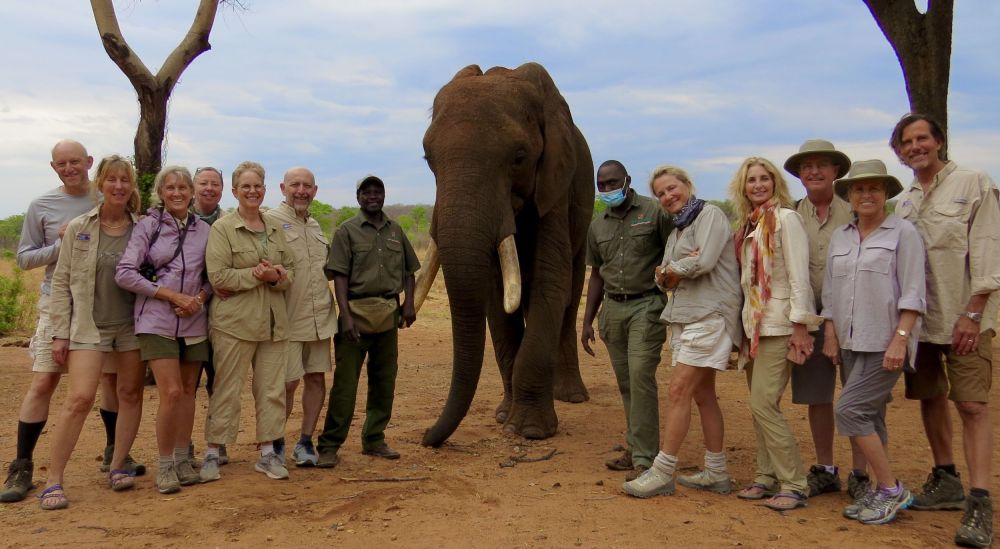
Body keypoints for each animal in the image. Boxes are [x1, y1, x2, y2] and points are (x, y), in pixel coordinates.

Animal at [415, 62, 594, 446]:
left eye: (519, 158)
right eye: (428, 159)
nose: (426, 436)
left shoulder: (556, 186)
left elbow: (549, 282)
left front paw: (528, 431)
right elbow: (496, 299)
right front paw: (502, 417)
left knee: (569, 299)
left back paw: (571, 396)